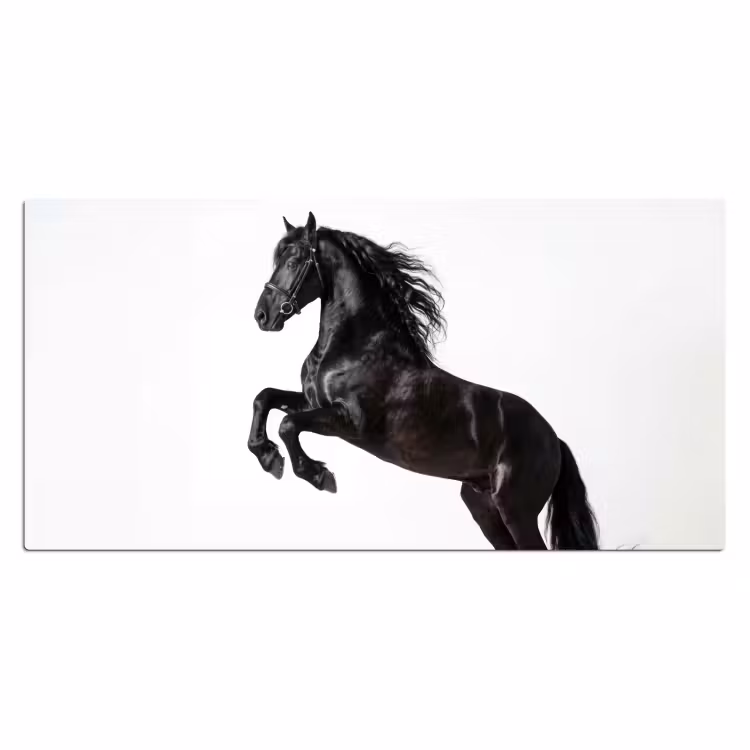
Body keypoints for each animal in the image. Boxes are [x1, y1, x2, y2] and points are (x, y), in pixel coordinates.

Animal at [249, 212, 599, 550]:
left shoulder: (350, 421)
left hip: (516, 510)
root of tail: (555, 440)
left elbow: (288, 425)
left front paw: (318, 475)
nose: (262, 316)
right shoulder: (312, 401)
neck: (355, 348)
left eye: (294, 261)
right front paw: (268, 457)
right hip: (483, 508)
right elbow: (265, 397)